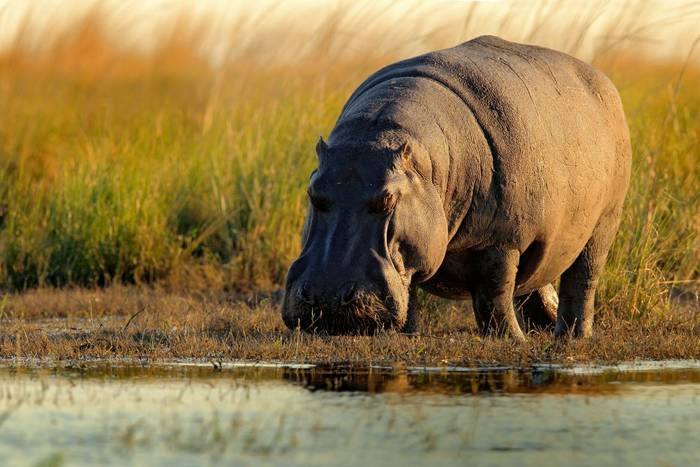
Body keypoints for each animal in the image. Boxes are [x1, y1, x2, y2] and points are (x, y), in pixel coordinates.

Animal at [282, 35, 631, 339]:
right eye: (313, 193)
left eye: (387, 201)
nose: (326, 299)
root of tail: (603, 81)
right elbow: (410, 292)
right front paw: (407, 336)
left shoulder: (500, 241)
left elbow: (494, 293)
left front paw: (510, 340)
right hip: (544, 236)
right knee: (535, 280)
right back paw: (543, 327)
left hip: (604, 222)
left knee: (581, 281)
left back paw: (571, 337)